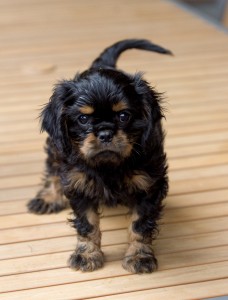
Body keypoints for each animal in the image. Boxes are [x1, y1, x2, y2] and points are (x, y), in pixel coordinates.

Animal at [27, 39, 170, 274]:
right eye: (83, 119)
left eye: (124, 116)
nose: (105, 133)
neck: (108, 166)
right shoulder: (78, 185)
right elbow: (87, 223)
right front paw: (87, 254)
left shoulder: (149, 185)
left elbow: (140, 225)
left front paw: (139, 256)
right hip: (57, 145)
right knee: (53, 167)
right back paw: (48, 198)